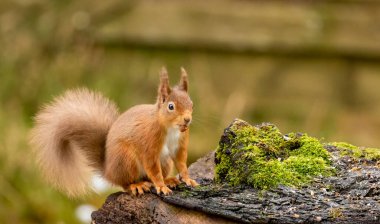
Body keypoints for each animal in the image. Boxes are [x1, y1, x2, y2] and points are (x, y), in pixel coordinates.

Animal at [29, 67, 199, 197]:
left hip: (164, 162)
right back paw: (137, 185)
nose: (187, 120)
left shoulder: (180, 144)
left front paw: (187, 179)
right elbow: (153, 168)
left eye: (192, 104)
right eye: (171, 106)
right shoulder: (149, 142)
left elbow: (181, 162)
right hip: (125, 160)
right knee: (125, 183)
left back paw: (168, 180)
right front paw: (161, 186)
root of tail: (108, 170)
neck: (171, 128)